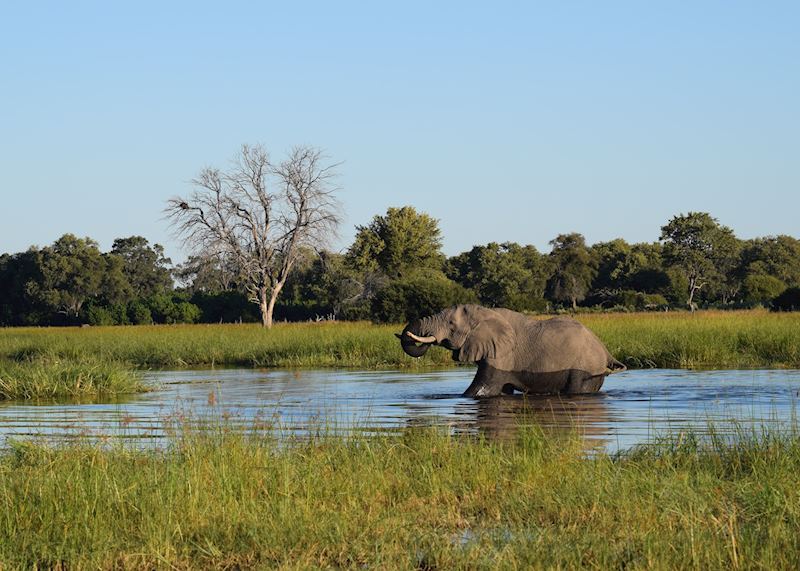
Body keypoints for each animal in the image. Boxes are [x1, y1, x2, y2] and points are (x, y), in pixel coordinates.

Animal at [396, 304, 626, 397]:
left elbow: (482, 389)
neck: (485, 312)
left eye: (451, 324)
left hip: (585, 367)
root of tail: (605, 351)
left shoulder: (502, 355)